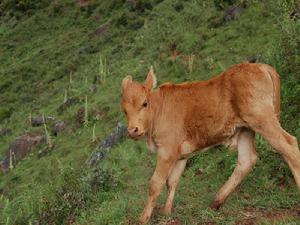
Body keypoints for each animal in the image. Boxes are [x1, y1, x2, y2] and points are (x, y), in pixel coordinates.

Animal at [120, 62, 300, 224]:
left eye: (144, 103)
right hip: (245, 128)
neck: (159, 110)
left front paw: (143, 218)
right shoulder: (181, 154)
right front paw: (166, 212)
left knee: (290, 146)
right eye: (124, 110)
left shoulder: (166, 150)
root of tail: (261, 66)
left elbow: (156, 183)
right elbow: (172, 182)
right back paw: (216, 201)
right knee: (247, 160)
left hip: (262, 119)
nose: (132, 130)